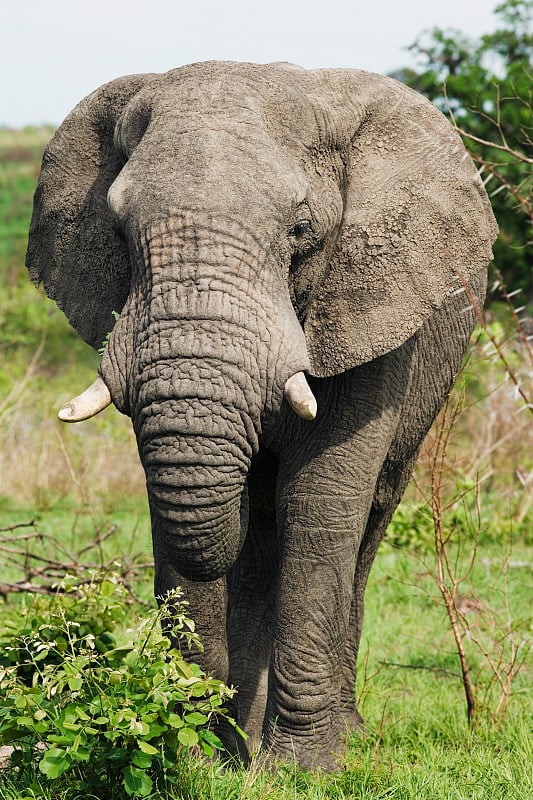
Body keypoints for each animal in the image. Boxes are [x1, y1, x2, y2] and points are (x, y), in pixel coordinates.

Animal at [27, 59, 496, 772]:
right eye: (117, 233)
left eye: (302, 231)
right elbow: (186, 516)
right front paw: (196, 759)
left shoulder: (372, 307)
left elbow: (319, 500)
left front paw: (301, 769)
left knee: (366, 517)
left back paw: (343, 732)